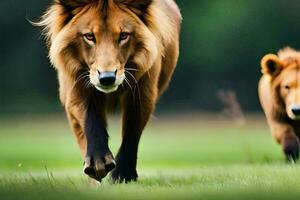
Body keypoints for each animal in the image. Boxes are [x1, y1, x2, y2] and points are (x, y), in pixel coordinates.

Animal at [36, 0, 182, 182]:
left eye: (123, 35)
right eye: (89, 36)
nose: (107, 77)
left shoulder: (143, 92)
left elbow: (132, 131)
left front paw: (124, 175)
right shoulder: (75, 88)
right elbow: (91, 120)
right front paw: (97, 164)